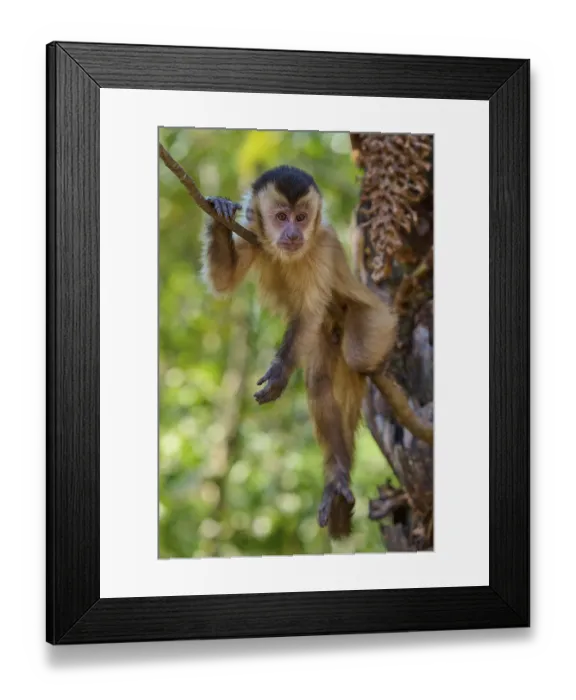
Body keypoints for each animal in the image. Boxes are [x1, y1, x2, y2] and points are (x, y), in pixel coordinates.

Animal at [202, 166, 397, 539]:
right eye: (281, 217)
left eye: (302, 218)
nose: (293, 232)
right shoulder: (254, 236)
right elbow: (223, 281)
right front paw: (220, 215)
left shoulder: (320, 247)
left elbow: (307, 313)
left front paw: (279, 373)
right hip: (323, 337)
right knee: (321, 381)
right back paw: (337, 479)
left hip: (379, 319)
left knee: (356, 355)